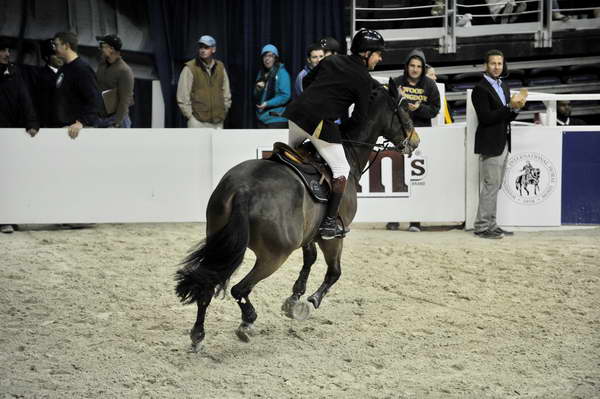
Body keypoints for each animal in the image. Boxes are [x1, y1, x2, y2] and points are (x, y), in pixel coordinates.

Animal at [175, 79, 418, 350]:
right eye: (405, 111)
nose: (415, 141)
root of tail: (243, 190)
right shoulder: (333, 237)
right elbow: (334, 271)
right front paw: (310, 301)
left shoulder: (309, 233)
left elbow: (310, 259)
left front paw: (295, 297)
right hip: (274, 255)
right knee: (240, 290)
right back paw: (247, 321)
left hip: (219, 242)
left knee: (207, 286)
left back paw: (198, 335)